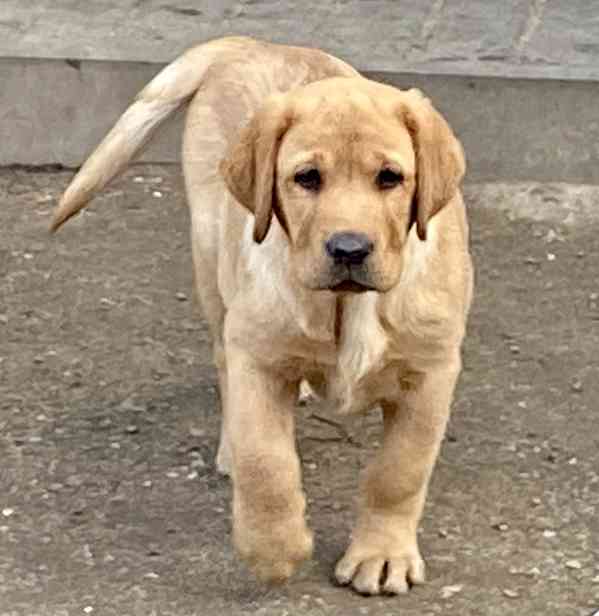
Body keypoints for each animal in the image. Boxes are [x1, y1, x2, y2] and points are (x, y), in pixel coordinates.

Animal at [51, 36, 474, 596]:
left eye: (390, 178)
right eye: (306, 178)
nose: (349, 248)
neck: (345, 305)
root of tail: (255, 42)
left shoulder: (431, 371)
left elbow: (399, 471)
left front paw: (381, 554)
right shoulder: (257, 357)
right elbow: (266, 461)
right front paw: (273, 549)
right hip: (212, 265)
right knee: (224, 365)